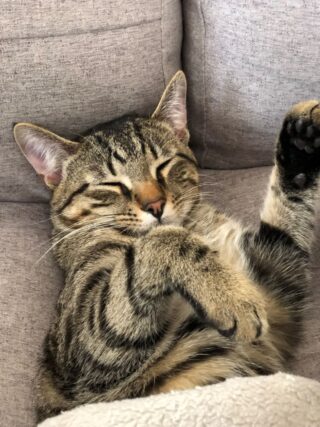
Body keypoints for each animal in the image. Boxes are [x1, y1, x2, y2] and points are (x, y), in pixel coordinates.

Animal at [13, 71, 320, 422]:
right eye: (111, 184)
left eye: (163, 165)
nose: (155, 205)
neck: (197, 226)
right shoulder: (86, 350)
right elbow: (162, 240)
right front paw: (230, 298)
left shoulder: (277, 284)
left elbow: (287, 217)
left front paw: (299, 142)